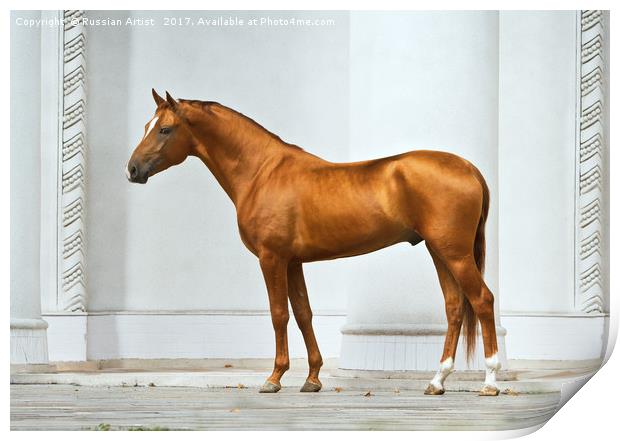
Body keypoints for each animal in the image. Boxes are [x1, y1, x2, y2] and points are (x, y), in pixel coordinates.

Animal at [128, 88, 502, 396]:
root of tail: (468, 167)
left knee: (482, 300)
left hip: (454, 254)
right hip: (439, 252)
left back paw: (490, 382)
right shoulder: (294, 262)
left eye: (164, 129)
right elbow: (303, 313)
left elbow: (279, 314)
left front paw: (274, 378)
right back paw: (437, 381)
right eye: (146, 125)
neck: (262, 172)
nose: (132, 170)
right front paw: (312, 379)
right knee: (454, 307)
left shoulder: (272, 258)